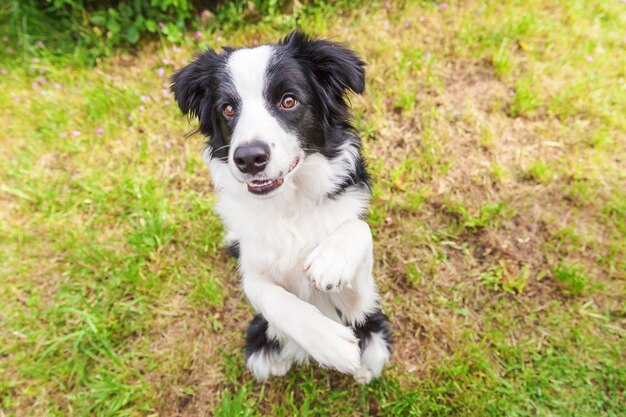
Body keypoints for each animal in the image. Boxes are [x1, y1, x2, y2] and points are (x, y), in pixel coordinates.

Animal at [171, 31, 390, 384]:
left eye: (289, 101)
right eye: (228, 108)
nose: (248, 158)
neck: (290, 205)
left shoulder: (359, 305)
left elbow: (360, 228)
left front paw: (331, 261)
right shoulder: (254, 268)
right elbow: (270, 296)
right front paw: (330, 343)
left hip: (378, 342)